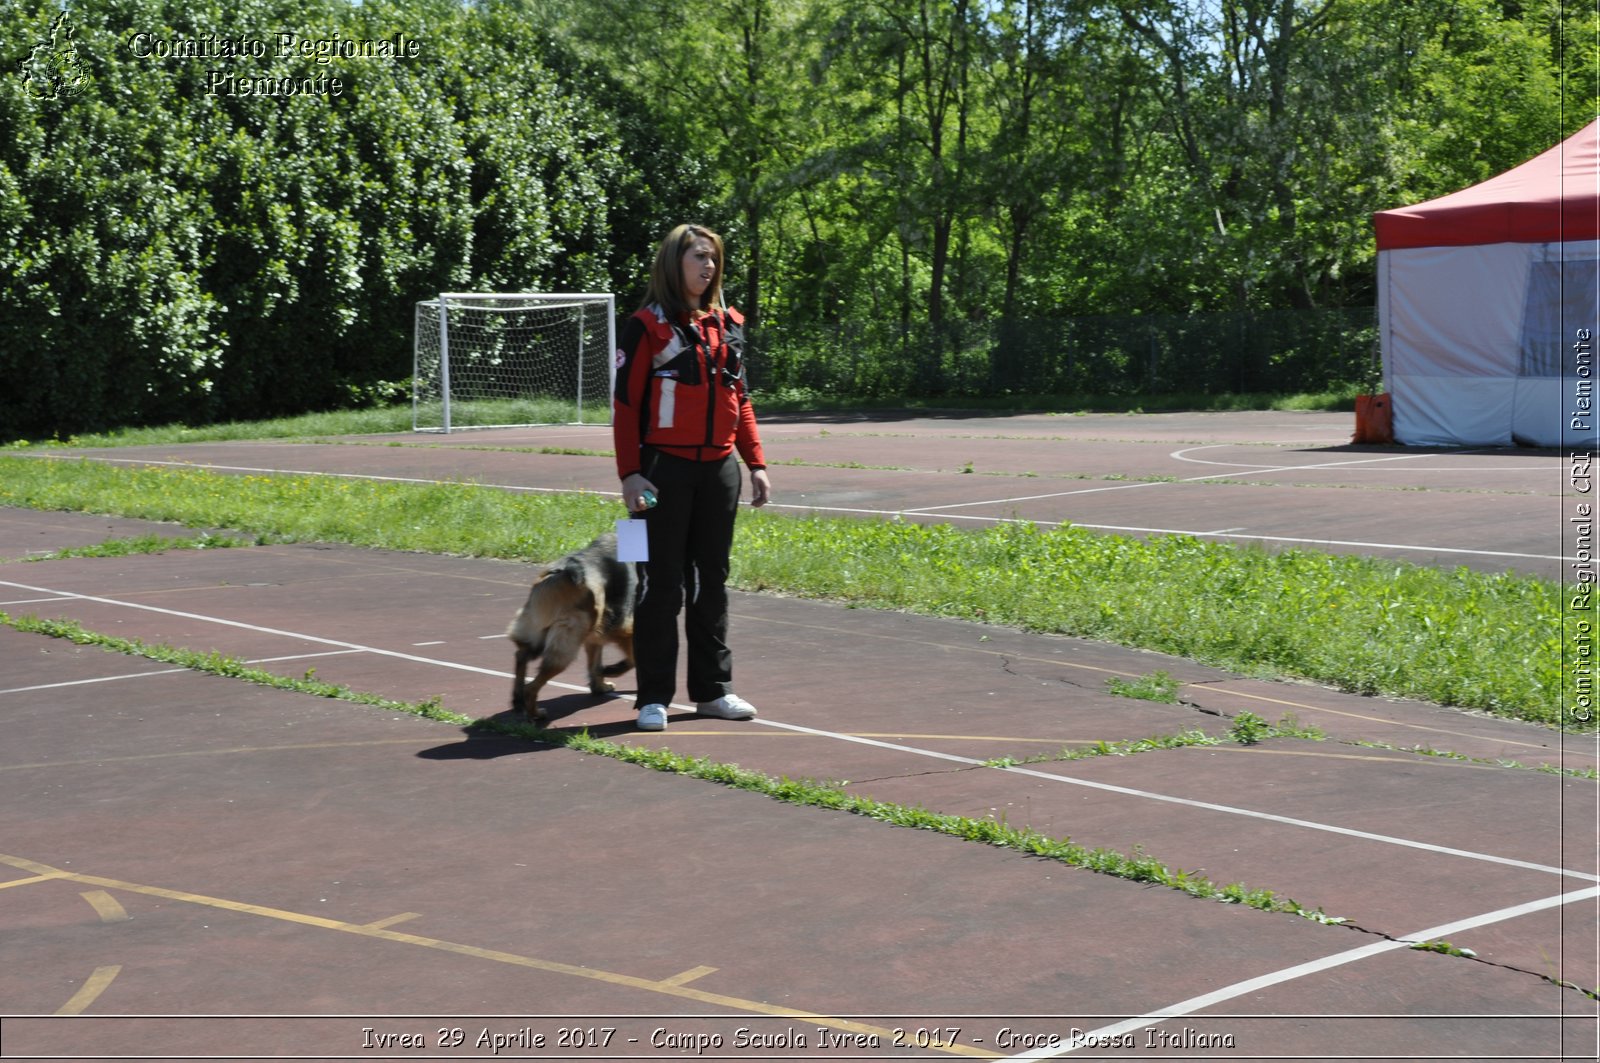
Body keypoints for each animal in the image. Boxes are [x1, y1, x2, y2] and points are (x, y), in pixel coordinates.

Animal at [512, 531, 636, 723]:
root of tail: (561, 572)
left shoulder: (595, 637)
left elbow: (595, 665)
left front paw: (599, 686)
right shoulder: (625, 630)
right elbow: (631, 661)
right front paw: (611, 670)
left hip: (537, 631)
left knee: (521, 655)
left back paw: (517, 699)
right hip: (567, 642)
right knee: (531, 686)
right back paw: (535, 713)